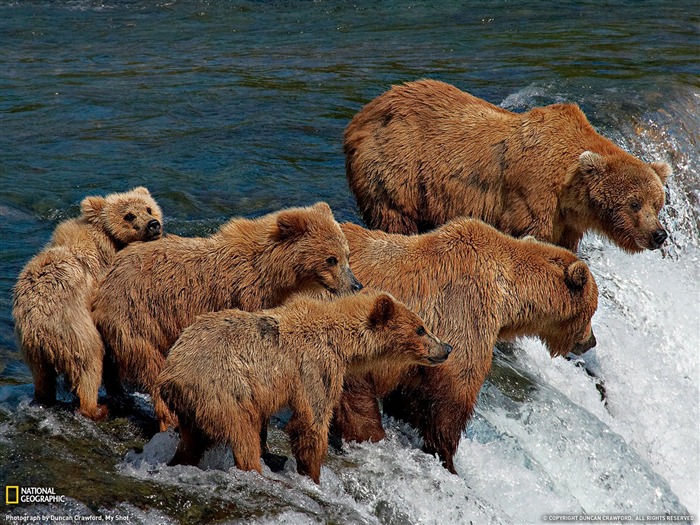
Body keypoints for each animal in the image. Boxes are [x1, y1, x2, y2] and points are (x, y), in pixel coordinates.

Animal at [14, 186, 163, 420]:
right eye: (129, 215)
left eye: (149, 208)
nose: (153, 224)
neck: (109, 244)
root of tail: (38, 323)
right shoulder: (102, 282)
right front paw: (118, 391)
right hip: (75, 331)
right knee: (90, 364)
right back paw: (97, 408)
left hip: (30, 348)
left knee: (42, 378)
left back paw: (43, 400)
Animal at [91, 202, 360, 430]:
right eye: (331, 259)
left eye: (347, 255)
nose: (356, 285)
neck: (273, 272)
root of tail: (106, 279)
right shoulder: (245, 295)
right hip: (139, 313)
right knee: (150, 363)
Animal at [154, 288, 448, 486]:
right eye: (421, 328)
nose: (446, 348)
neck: (341, 340)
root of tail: (168, 374)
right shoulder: (315, 365)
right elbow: (312, 420)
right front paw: (313, 475)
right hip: (222, 390)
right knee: (244, 434)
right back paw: (258, 472)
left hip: (194, 406)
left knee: (192, 441)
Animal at [332, 219, 596, 472]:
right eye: (592, 311)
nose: (591, 341)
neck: (507, 297)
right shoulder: (464, 314)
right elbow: (450, 398)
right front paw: (447, 459)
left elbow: (409, 399)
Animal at [344, 78, 672, 252]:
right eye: (634, 203)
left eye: (658, 204)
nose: (659, 234)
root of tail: (362, 115)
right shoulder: (534, 195)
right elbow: (528, 233)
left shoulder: (566, 221)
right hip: (399, 168)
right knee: (394, 215)